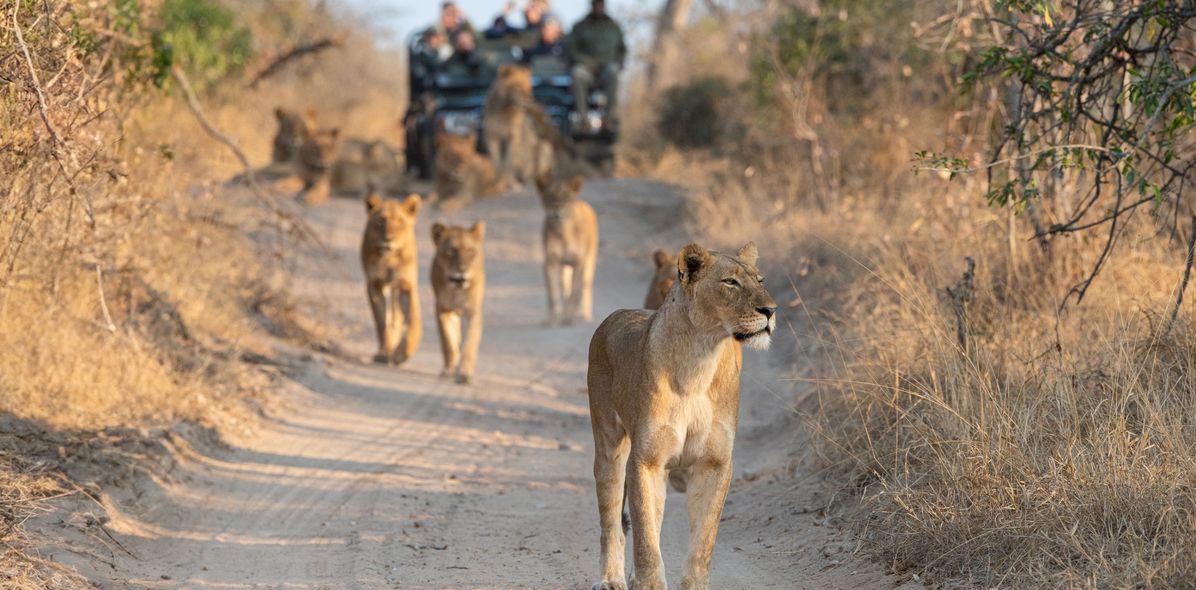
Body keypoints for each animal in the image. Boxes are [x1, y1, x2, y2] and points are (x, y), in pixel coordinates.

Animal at [358, 191, 425, 363]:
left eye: (400, 222)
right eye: (381, 221)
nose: (388, 239)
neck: (389, 257)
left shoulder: (406, 284)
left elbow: (412, 321)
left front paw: (403, 353)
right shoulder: (374, 284)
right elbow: (381, 322)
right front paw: (384, 352)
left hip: (396, 289)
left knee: (398, 316)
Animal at [430, 222, 485, 382]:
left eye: (470, 251)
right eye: (450, 251)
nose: (462, 270)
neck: (457, 289)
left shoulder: (473, 312)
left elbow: (470, 342)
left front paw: (465, 373)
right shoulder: (441, 309)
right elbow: (448, 341)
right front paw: (449, 368)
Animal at [538, 172, 598, 323]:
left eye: (565, 197)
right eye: (550, 196)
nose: (556, 210)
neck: (562, 232)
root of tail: (582, 202)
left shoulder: (578, 262)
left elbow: (575, 292)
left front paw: (567, 317)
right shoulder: (551, 262)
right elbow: (553, 293)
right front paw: (553, 318)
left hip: (589, 261)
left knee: (585, 286)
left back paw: (584, 315)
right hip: (564, 267)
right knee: (565, 286)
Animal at [586, 242, 775, 588]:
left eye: (760, 280)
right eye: (730, 282)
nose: (771, 310)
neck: (700, 359)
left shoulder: (714, 463)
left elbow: (703, 540)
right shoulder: (646, 461)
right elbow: (646, 541)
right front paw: (648, 584)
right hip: (610, 447)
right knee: (612, 522)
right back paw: (611, 579)